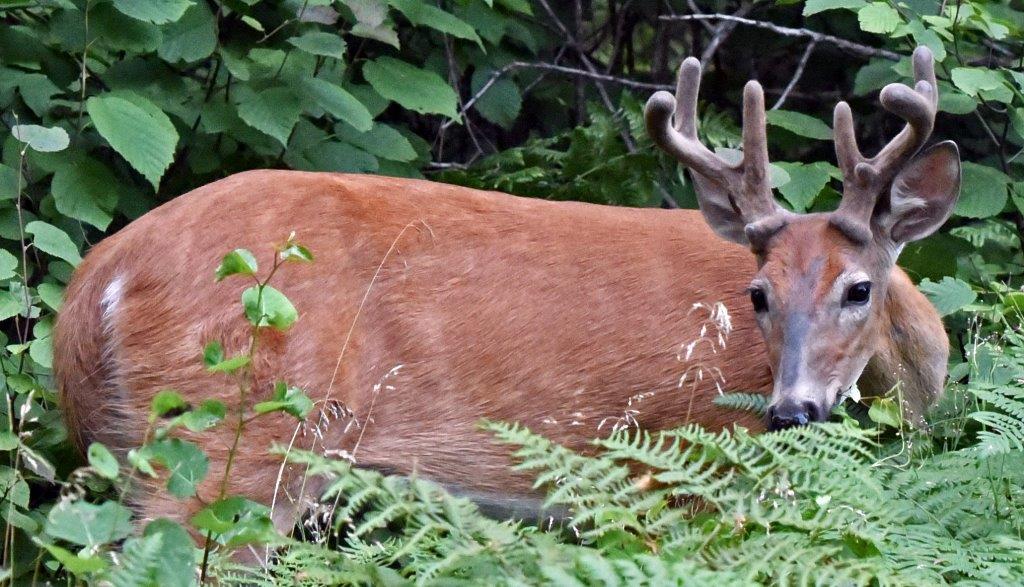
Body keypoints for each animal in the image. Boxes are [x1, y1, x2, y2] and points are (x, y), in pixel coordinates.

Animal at [54, 45, 957, 537]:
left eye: (857, 287)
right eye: (758, 293)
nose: (792, 409)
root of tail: (97, 278)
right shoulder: (675, 466)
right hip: (232, 440)